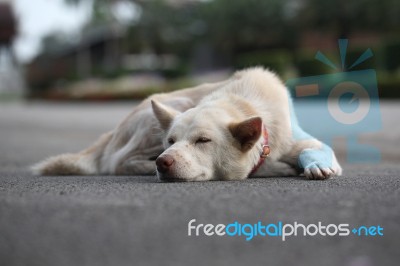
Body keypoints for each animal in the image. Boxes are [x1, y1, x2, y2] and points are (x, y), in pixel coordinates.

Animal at [32, 67, 342, 182]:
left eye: (203, 141)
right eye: (170, 141)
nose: (163, 162)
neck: (242, 103)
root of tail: (111, 134)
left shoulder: (299, 139)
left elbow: (314, 148)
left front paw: (317, 165)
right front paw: (277, 167)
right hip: (165, 110)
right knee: (118, 161)